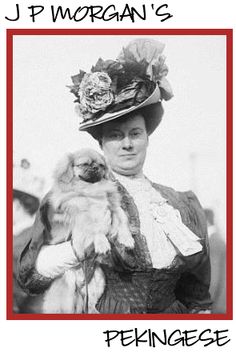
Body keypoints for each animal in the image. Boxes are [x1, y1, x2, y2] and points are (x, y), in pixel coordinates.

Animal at [42, 148, 135, 314]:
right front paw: (102, 244)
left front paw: (127, 239)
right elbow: (95, 228)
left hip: (98, 281)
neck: (92, 190)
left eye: (101, 165)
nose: (96, 168)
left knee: (90, 305)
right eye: (85, 164)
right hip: (68, 288)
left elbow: (123, 220)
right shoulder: (81, 215)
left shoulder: (113, 207)